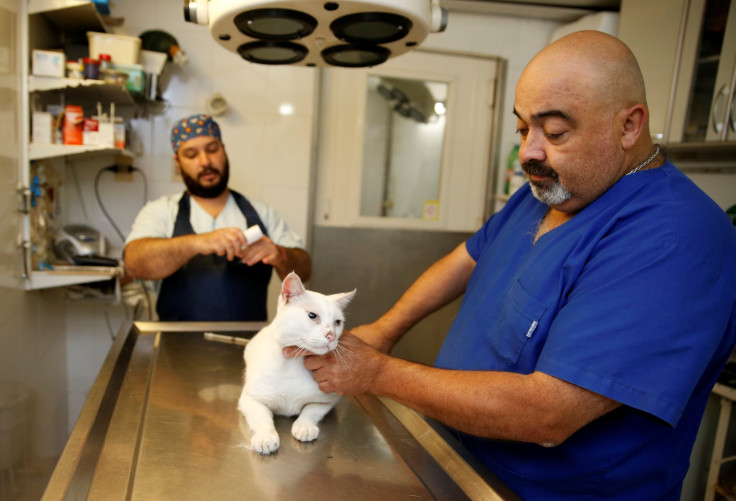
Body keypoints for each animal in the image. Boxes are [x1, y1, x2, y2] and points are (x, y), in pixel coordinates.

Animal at [237, 272, 356, 456]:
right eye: (312, 316)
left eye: (337, 322)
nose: (331, 336)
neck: (294, 364)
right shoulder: (250, 400)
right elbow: (262, 418)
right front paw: (265, 437)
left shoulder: (327, 401)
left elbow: (311, 411)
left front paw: (305, 426)